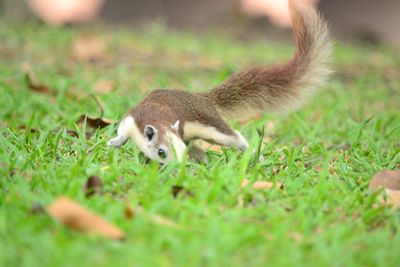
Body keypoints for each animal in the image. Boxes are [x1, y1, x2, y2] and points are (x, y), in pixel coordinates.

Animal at [108, 0, 332, 164]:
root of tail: (203, 98)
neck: (156, 119)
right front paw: (115, 143)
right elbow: (122, 132)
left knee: (232, 136)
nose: (177, 168)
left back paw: (253, 154)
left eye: (180, 150)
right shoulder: (132, 118)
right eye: (161, 152)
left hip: (210, 124)